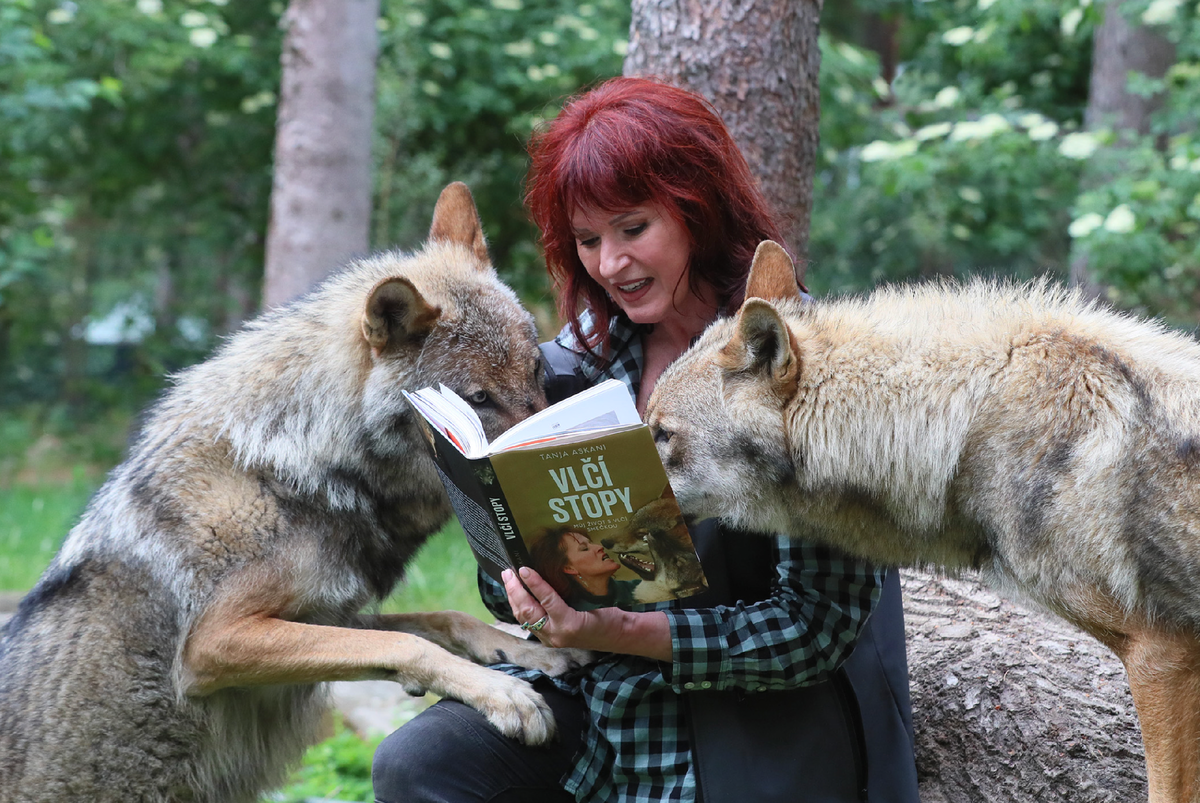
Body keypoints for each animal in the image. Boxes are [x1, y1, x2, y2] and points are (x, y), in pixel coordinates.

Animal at [0, 183, 590, 801]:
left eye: (536, 371)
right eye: (477, 400)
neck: (304, 465)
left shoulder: (326, 615)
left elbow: (440, 620)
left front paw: (533, 651)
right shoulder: (216, 642)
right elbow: (407, 643)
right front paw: (506, 694)